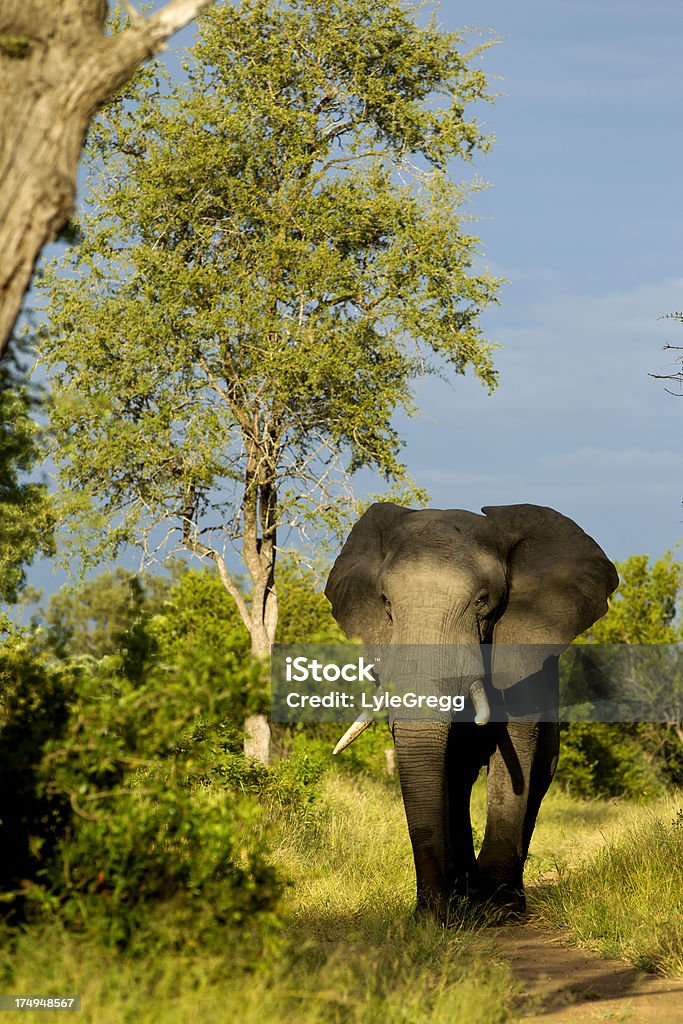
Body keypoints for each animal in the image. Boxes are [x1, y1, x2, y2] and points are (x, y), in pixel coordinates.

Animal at [325, 503, 618, 921]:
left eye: (482, 602)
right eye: (386, 603)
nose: (429, 913)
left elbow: (514, 754)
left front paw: (498, 910)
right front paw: (448, 909)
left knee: (538, 779)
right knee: (461, 781)